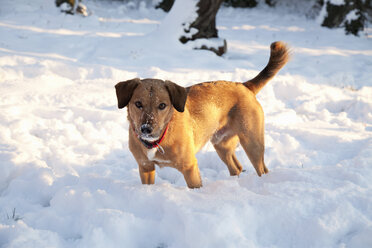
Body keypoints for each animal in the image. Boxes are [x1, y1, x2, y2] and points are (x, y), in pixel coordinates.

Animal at [115, 41, 290, 188]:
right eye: (138, 104)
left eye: (162, 105)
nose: (146, 129)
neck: (159, 138)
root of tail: (244, 86)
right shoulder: (145, 167)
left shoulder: (190, 168)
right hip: (222, 144)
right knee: (237, 167)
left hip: (252, 142)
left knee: (262, 169)